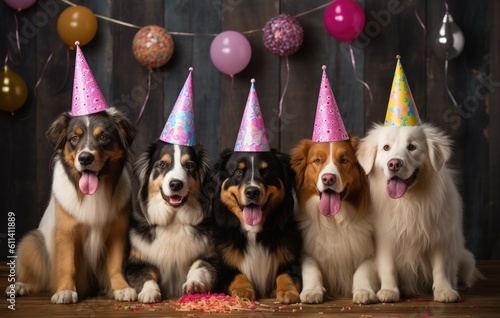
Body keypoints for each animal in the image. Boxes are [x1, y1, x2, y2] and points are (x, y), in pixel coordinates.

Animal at [9, 108, 138, 304]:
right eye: (74, 138)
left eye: (104, 137)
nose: (85, 158)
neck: (92, 193)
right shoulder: (66, 232)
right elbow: (67, 264)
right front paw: (65, 291)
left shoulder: (117, 233)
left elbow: (115, 264)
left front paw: (121, 288)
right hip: (32, 242)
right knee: (37, 279)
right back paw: (20, 286)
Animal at [125, 142, 217, 304]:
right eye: (162, 164)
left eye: (189, 165)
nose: (175, 184)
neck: (174, 220)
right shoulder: (135, 263)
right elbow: (146, 275)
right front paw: (149, 292)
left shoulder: (210, 257)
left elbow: (200, 266)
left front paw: (194, 284)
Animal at [211, 150, 300, 304]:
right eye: (238, 172)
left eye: (267, 172)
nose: (252, 192)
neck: (253, 230)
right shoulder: (223, 266)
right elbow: (236, 274)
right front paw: (243, 290)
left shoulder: (292, 260)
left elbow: (286, 274)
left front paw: (287, 291)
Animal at [290, 139, 378, 304]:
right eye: (317, 160)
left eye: (344, 160)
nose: (328, 179)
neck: (335, 221)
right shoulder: (306, 251)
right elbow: (311, 268)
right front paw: (312, 291)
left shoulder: (371, 250)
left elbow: (363, 269)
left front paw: (364, 290)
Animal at [358, 123, 478, 304]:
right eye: (386, 148)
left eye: (412, 147)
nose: (394, 164)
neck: (408, 201)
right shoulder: (385, 239)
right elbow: (388, 267)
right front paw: (389, 290)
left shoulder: (440, 237)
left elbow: (440, 268)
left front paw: (444, 291)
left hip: (466, 259)